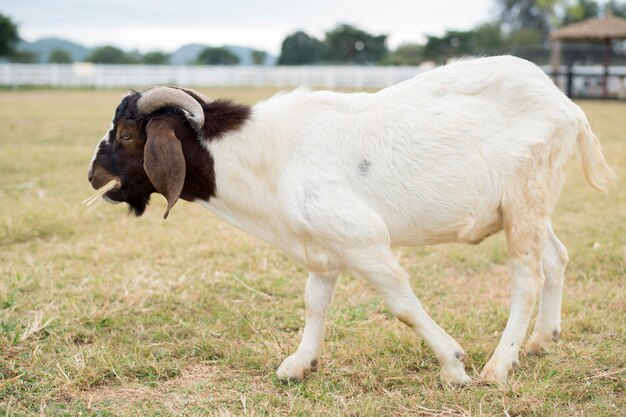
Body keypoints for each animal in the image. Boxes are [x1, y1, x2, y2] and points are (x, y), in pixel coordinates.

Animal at [85, 55, 612, 384]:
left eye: (128, 134)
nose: (93, 175)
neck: (267, 155)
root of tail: (567, 104)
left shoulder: (363, 241)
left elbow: (402, 306)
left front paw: (454, 365)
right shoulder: (322, 247)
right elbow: (314, 302)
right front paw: (299, 365)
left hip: (526, 198)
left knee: (527, 276)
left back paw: (499, 366)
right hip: (527, 206)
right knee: (557, 257)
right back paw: (542, 340)